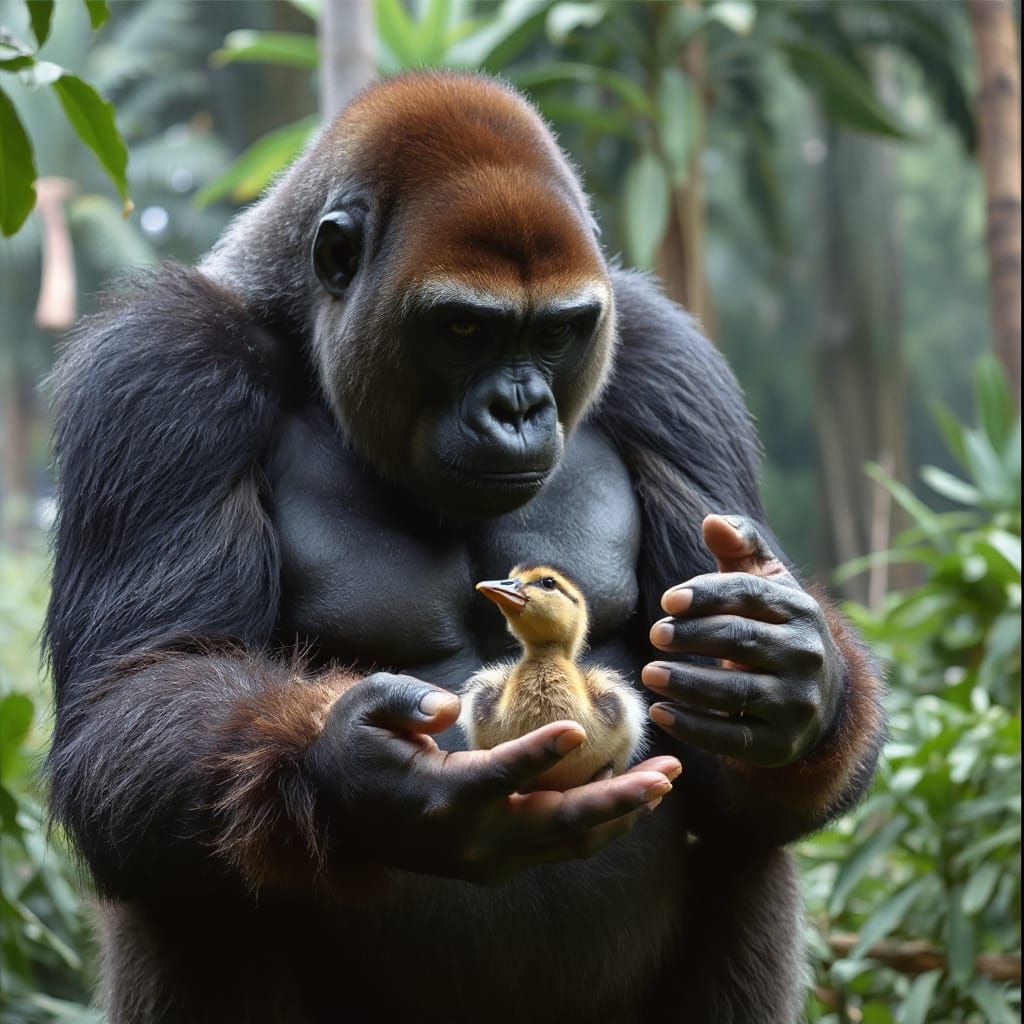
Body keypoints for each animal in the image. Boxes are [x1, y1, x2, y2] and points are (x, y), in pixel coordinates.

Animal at [45, 72, 884, 1023]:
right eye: (463, 330)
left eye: (554, 332)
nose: (518, 410)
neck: (299, 329)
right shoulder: (164, 369)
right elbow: (139, 690)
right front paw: (350, 773)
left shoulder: (669, 364)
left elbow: (732, 756)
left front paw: (791, 675)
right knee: (193, 866)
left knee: (749, 841)